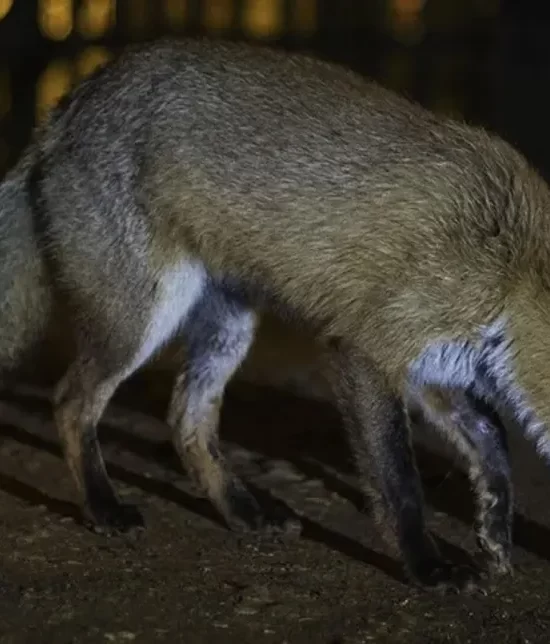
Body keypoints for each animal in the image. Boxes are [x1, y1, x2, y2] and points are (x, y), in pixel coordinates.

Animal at [1, 36, 550, 593]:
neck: (513, 268)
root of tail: (69, 104)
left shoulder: (433, 365)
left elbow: (492, 439)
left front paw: (494, 534)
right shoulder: (369, 350)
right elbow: (402, 482)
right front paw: (428, 566)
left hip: (228, 330)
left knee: (185, 420)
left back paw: (244, 511)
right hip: (138, 319)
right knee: (71, 402)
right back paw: (104, 508)